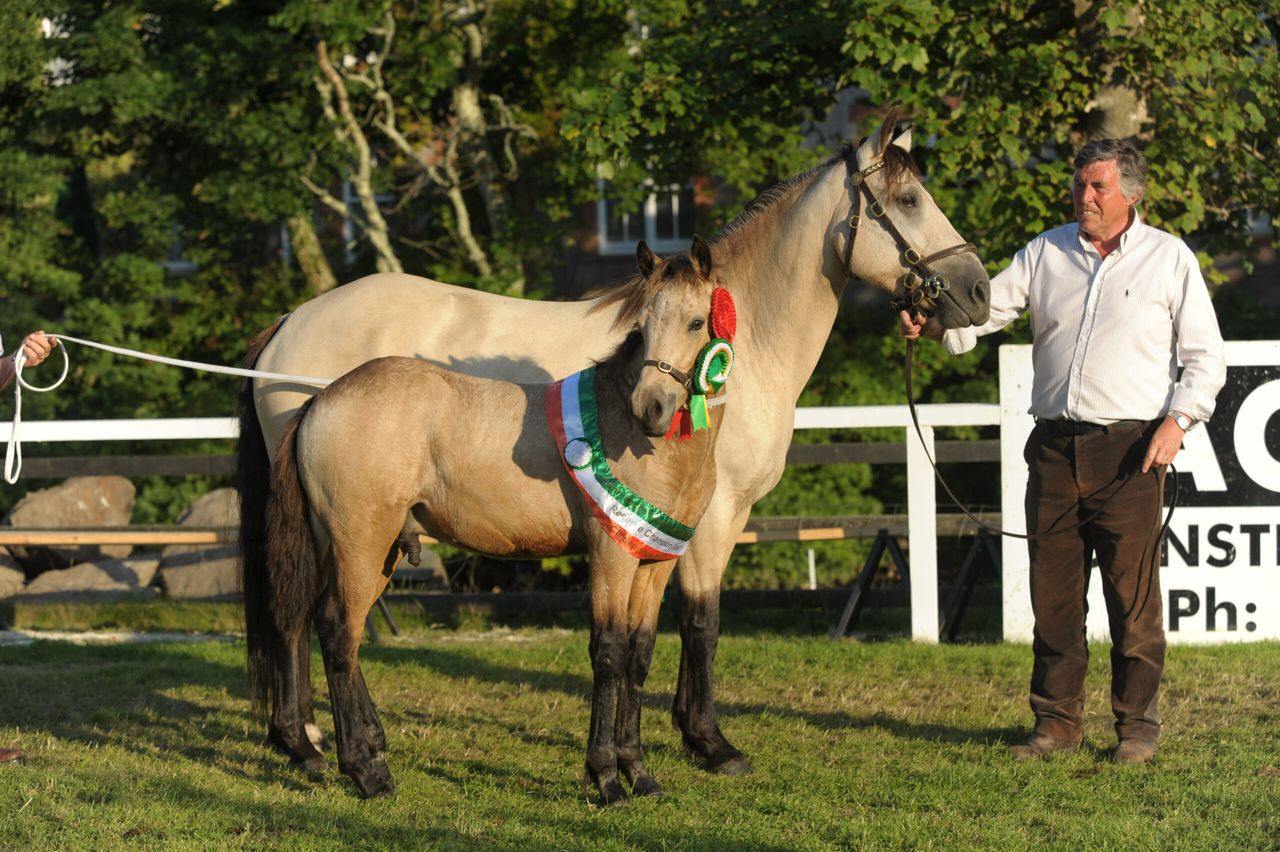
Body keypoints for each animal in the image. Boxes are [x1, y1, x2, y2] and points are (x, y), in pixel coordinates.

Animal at [253, 237, 733, 801]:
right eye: (642, 322)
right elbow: (609, 653)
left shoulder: (654, 562)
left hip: (370, 550)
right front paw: (607, 777)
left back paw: (363, 747)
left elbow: (639, 654)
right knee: (335, 632)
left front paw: (639, 773)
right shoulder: (610, 556)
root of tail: (319, 400)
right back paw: (364, 770)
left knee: (323, 626)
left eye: (697, 322)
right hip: (359, 544)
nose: (651, 408)